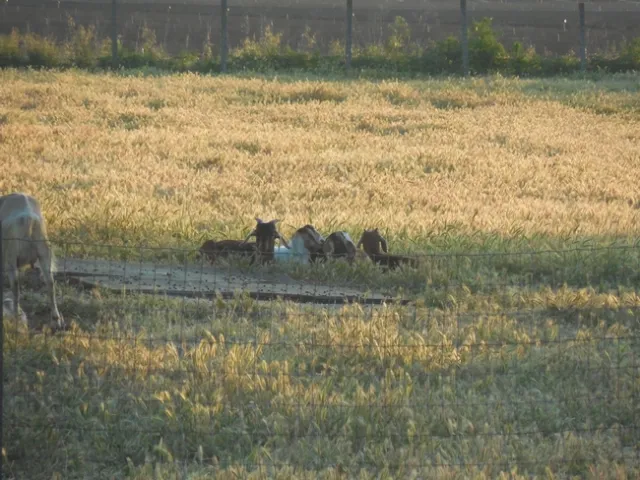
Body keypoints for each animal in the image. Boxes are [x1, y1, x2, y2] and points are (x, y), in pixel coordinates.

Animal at [0, 192, 64, 331]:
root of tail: (28, 219)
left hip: (11, 257)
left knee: (15, 286)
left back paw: (16, 317)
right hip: (44, 253)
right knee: (50, 284)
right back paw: (56, 320)